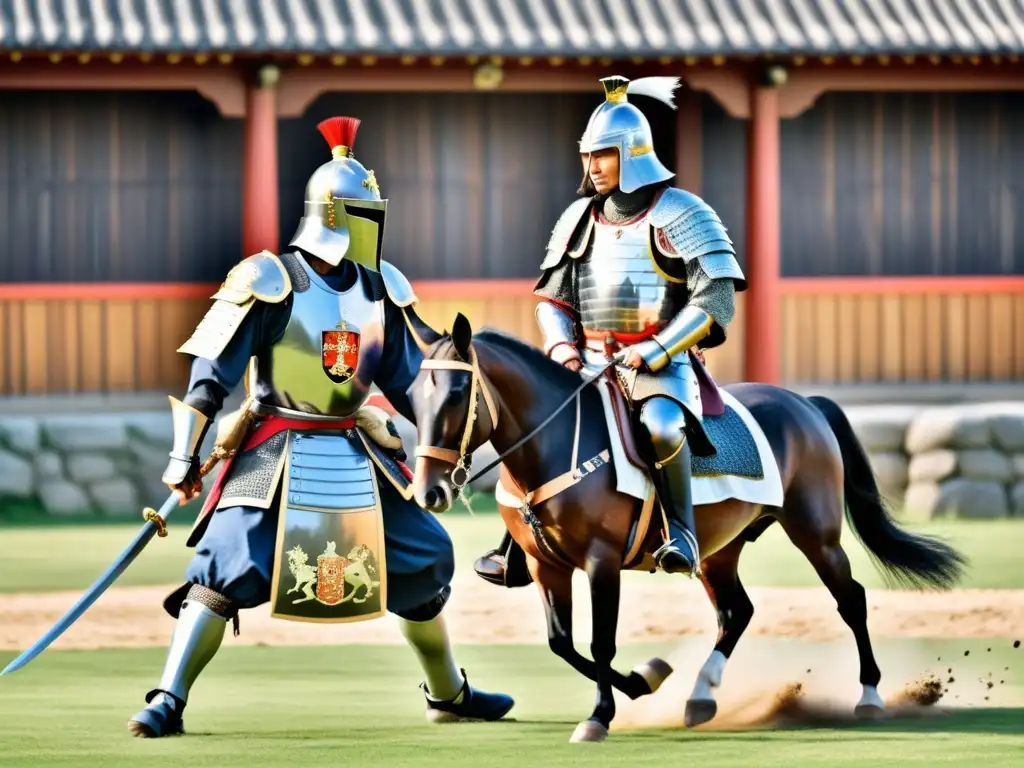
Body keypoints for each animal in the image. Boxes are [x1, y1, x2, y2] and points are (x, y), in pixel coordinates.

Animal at [405, 313, 958, 745]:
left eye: (457, 393)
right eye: (411, 395)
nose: (429, 492)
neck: (555, 446)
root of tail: (803, 403)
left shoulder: (602, 561)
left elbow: (599, 642)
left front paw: (600, 715)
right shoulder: (546, 566)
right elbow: (561, 642)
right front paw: (641, 681)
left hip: (816, 534)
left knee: (851, 600)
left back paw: (870, 694)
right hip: (718, 549)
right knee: (737, 611)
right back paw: (700, 696)